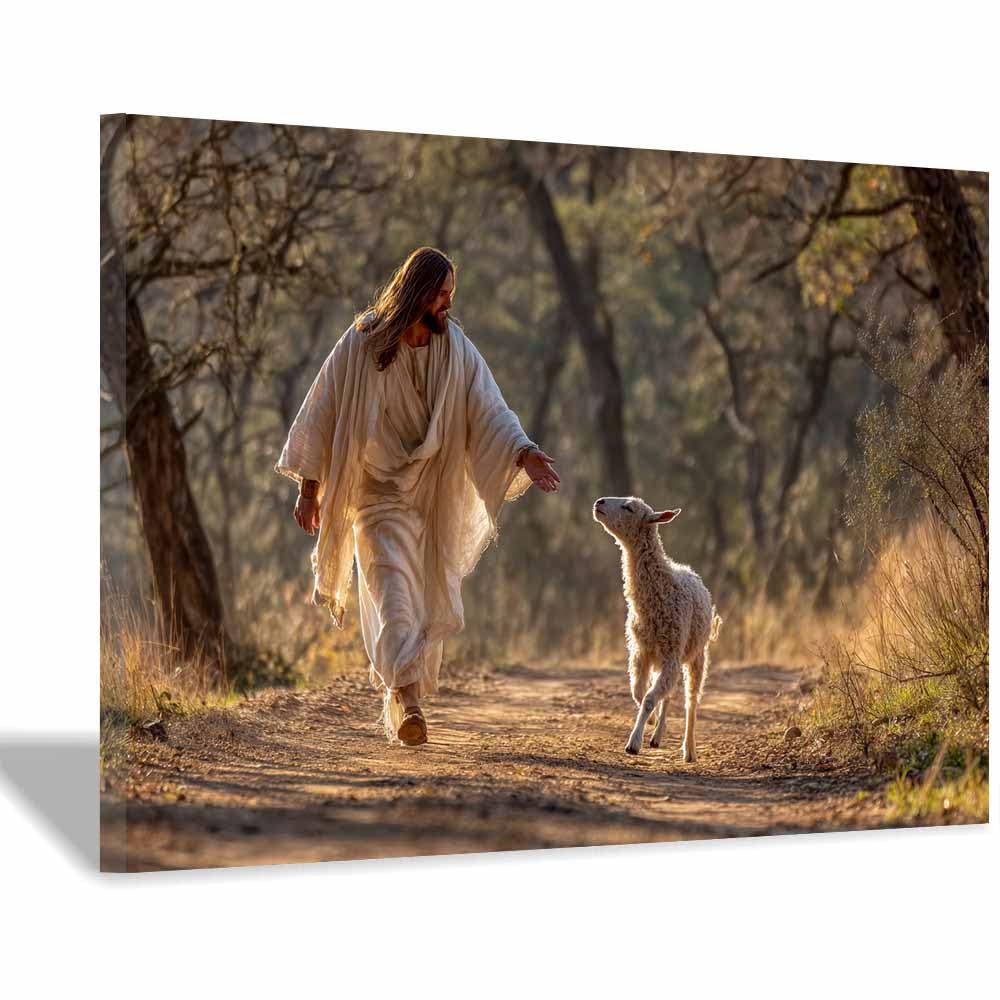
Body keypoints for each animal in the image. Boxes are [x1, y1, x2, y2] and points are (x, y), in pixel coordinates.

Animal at [593, 497, 722, 759]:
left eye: (629, 508)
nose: (599, 502)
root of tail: (689, 570)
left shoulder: (671, 653)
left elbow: (651, 697)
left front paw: (633, 743)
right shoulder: (641, 651)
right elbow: (639, 693)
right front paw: (649, 723)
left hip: (696, 655)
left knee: (691, 700)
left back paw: (688, 749)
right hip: (663, 658)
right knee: (668, 694)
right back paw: (657, 734)